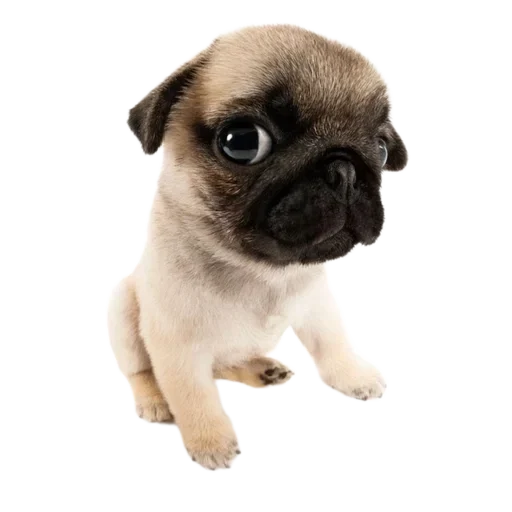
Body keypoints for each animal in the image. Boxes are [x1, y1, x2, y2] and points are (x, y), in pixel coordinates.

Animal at [107, 23, 409, 471]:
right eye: (243, 142)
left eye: (382, 148)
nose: (344, 169)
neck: (260, 270)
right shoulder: (176, 344)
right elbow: (194, 396)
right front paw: (210, 440)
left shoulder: (318, 308)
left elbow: (334, 344)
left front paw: (353, 375)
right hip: (124, 308)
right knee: (141, 370)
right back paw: (154, 401)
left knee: (226, 360)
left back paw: (262, 371)